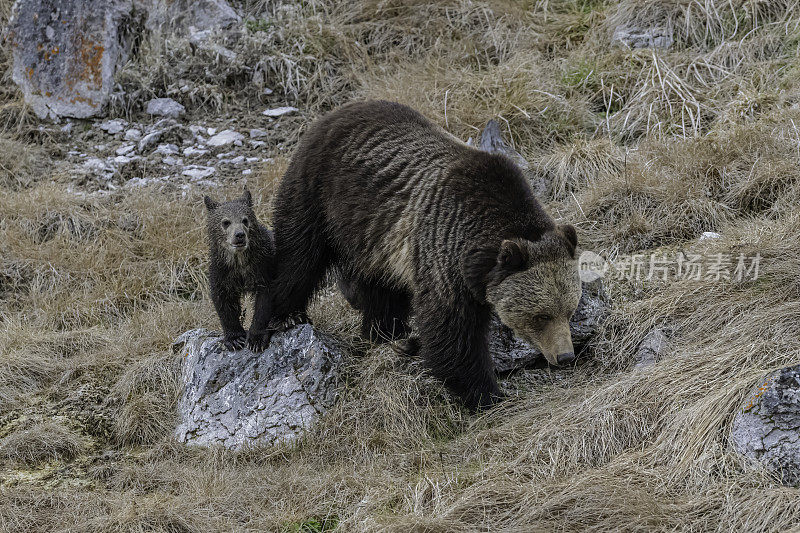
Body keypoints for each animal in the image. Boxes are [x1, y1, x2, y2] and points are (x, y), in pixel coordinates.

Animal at [266, 98, 580, 408]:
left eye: (569, 310)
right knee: (298, 256)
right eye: (541, 316)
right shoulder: (445, 251)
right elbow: (451, 333)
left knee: (380, 289)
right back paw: (282, 316)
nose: (565, 356)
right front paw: (486, 393)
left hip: (373, 240)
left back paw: (385, 331)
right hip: (320, 193)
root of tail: (335, 112)